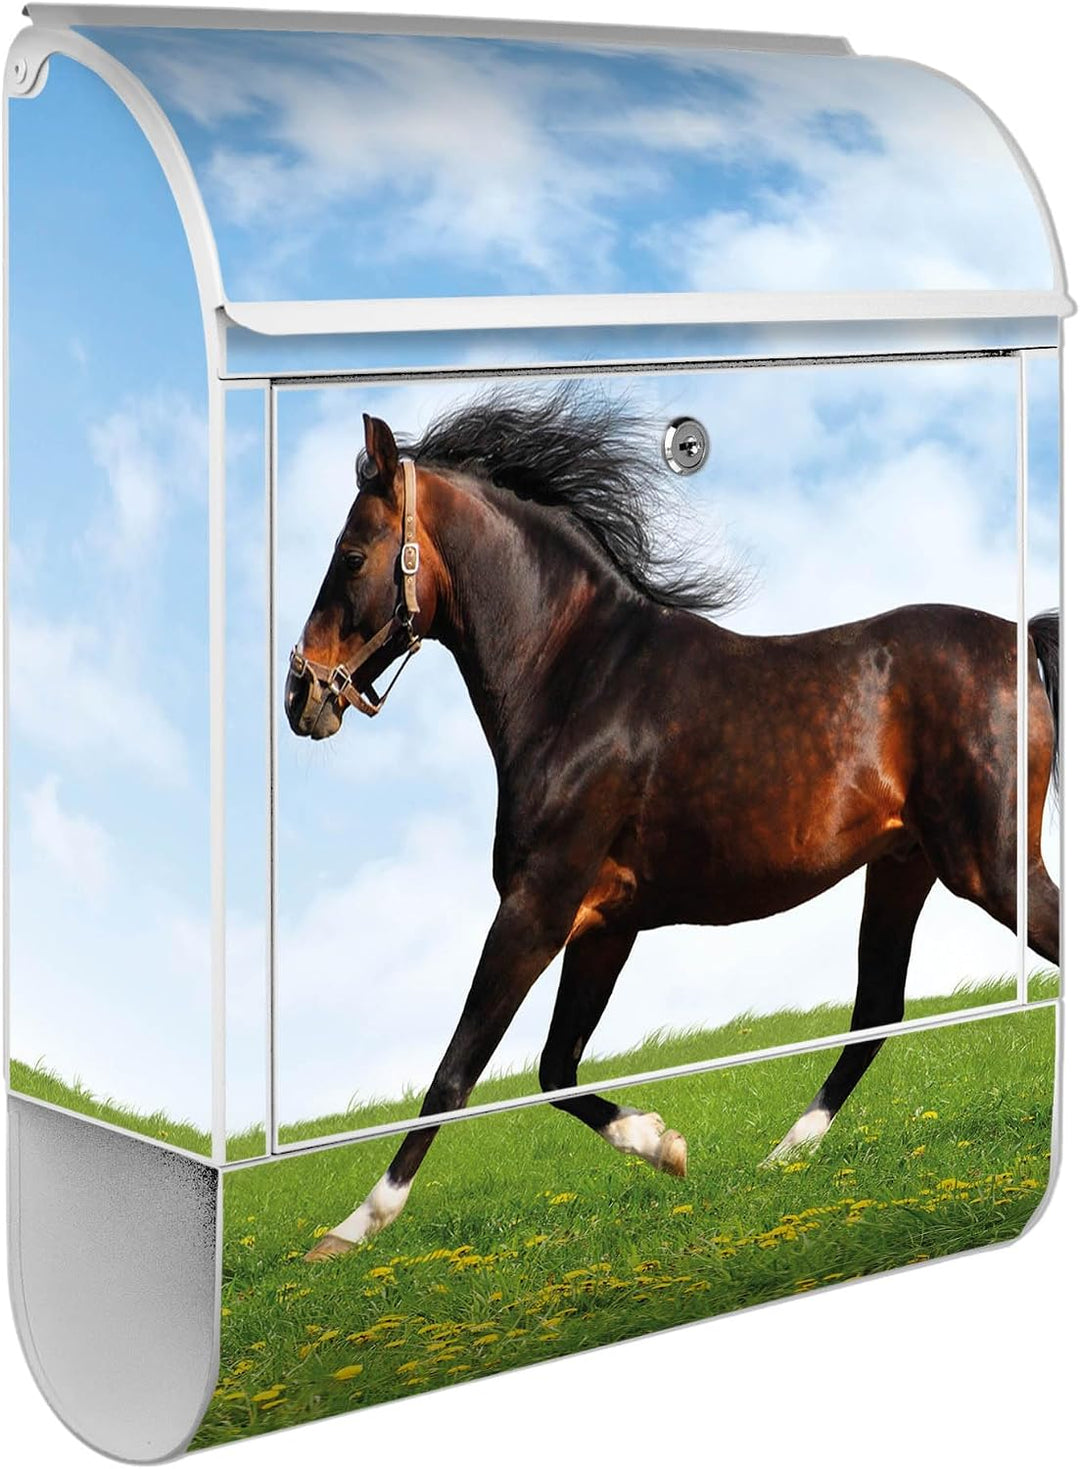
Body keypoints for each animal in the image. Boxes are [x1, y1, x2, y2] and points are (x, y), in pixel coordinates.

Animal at [284, 388, 1060, 1261]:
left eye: (352, 555)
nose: (299, 695)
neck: (579, 680)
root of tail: (1022, 639)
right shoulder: (603, 926)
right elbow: (556, 1067)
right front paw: (666, 1145)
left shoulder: (535, 907)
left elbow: (457, 1072)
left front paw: (350, 1230)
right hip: (904, 866)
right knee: (875, 1010)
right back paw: (781, 1155)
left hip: (989, 868)